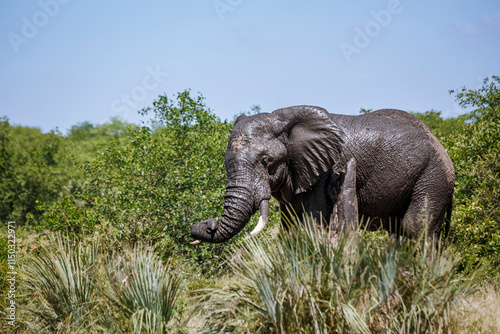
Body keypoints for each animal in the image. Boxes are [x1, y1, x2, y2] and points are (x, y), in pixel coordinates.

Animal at [189, 105, 456, 244]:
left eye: (266, 162)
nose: (209, 223)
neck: (283, 119)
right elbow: (290, 227)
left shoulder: (326, 172)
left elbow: (313, 224)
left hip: (432, 177)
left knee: (415, 227)